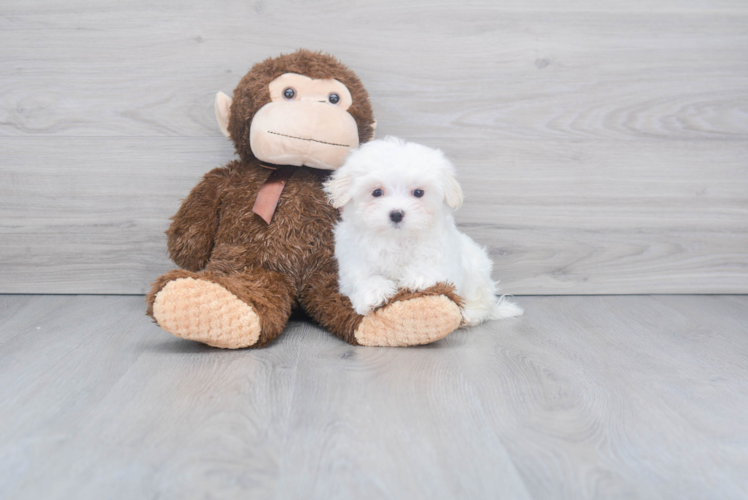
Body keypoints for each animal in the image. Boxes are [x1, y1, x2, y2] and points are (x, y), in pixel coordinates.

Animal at [324, 137, 524, 326]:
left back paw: (469, 315)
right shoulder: (354, 261)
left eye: (418, 192)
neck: (397, 238)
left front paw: (416, 278)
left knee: (481, 304)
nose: (396, 214)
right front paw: (374, 292)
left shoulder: (443, 258)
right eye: (376, 192)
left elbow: (433, 269)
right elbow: (364, 278)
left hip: (478, 273)